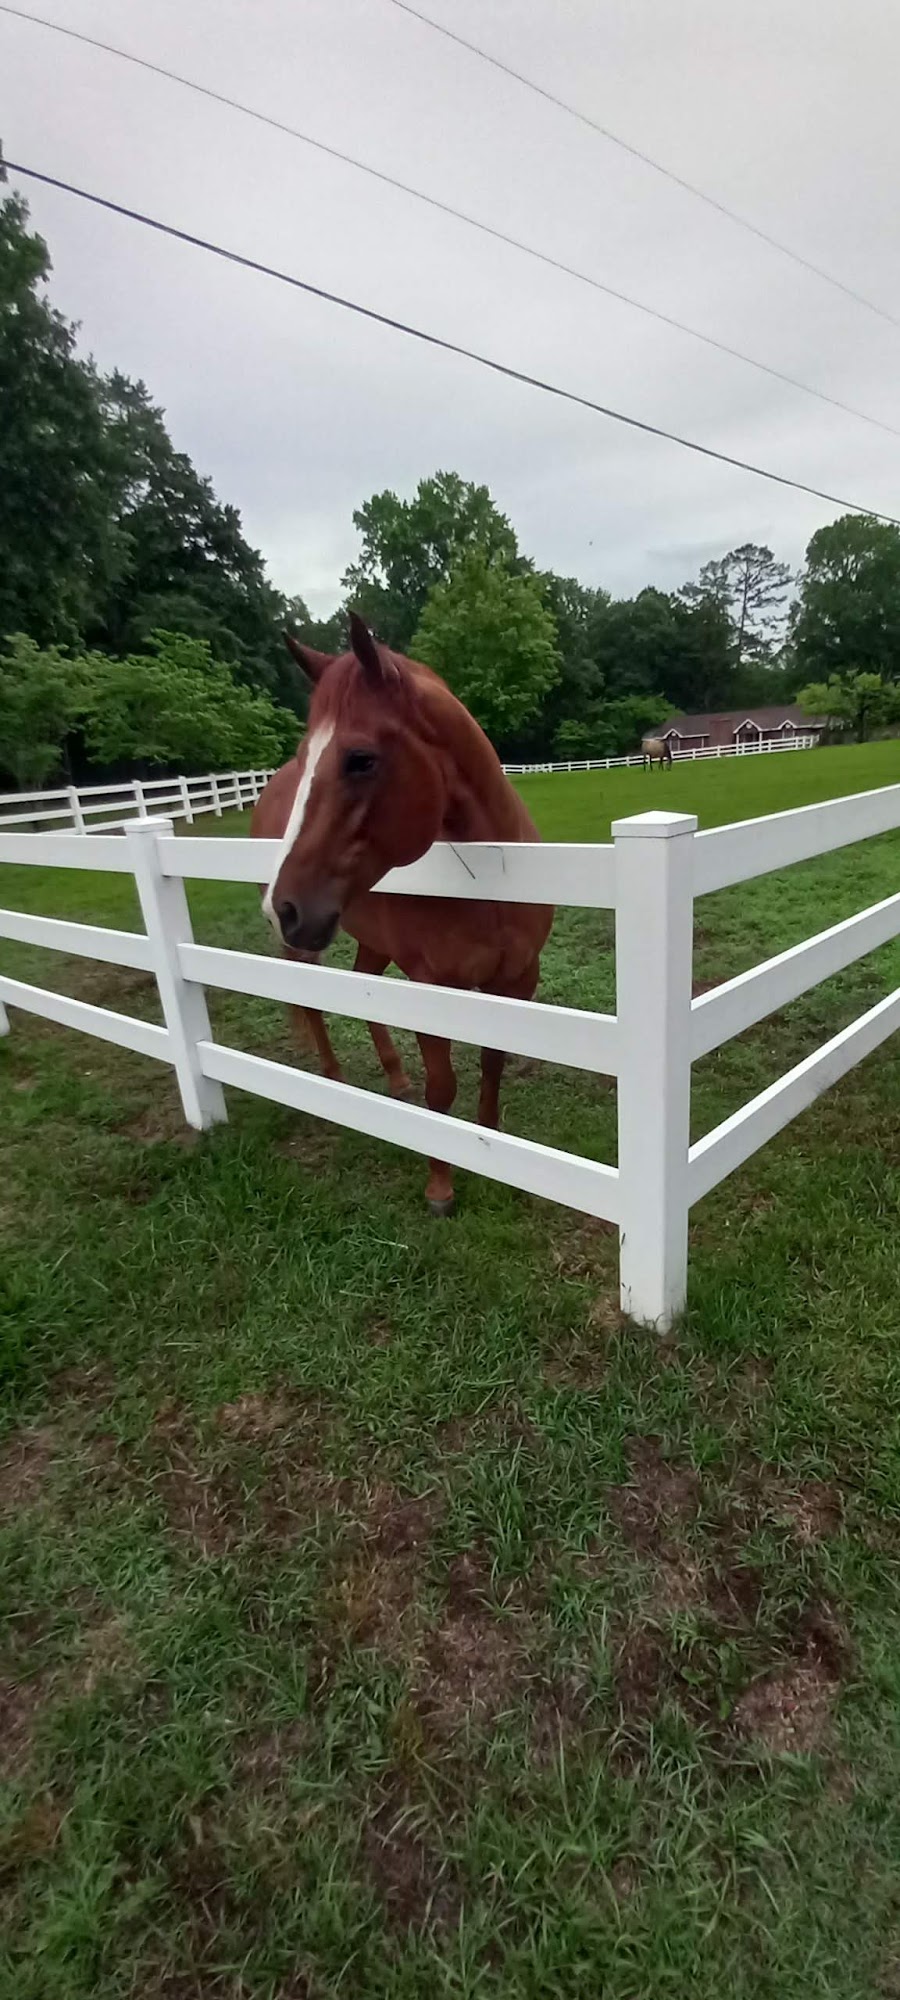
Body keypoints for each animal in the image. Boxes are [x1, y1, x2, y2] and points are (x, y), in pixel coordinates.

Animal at [250, 608, 552, 1208]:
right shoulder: (431, 986)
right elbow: (442, 1088)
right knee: (312, 1002)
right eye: (307, 757)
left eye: (360, 759)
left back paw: (395, 1079)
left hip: (370, 940)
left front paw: (492, 1143)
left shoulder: (516, 980)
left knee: (368, 992)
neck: (487, 882)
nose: (282, 908)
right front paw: (441, 1184)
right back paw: (332, 1075)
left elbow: (492, 1061)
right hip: (313, 950)